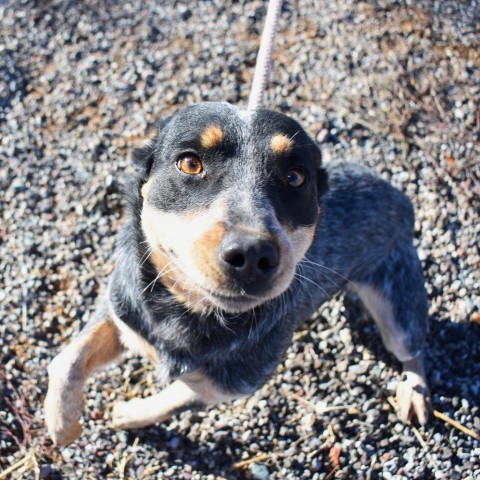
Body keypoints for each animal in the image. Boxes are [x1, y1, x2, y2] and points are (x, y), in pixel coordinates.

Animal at [43, 101, 430, 446]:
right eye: (190, 163)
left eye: (295, 177)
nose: (252, 253)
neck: (186, 312)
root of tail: (399, 195)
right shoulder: (122, 309)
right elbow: (67, 358)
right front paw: (62, 423)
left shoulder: (229, 385)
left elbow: (176, 395)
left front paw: (130, 413)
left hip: (398, 300)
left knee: (412, 347)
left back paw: (415, 392)